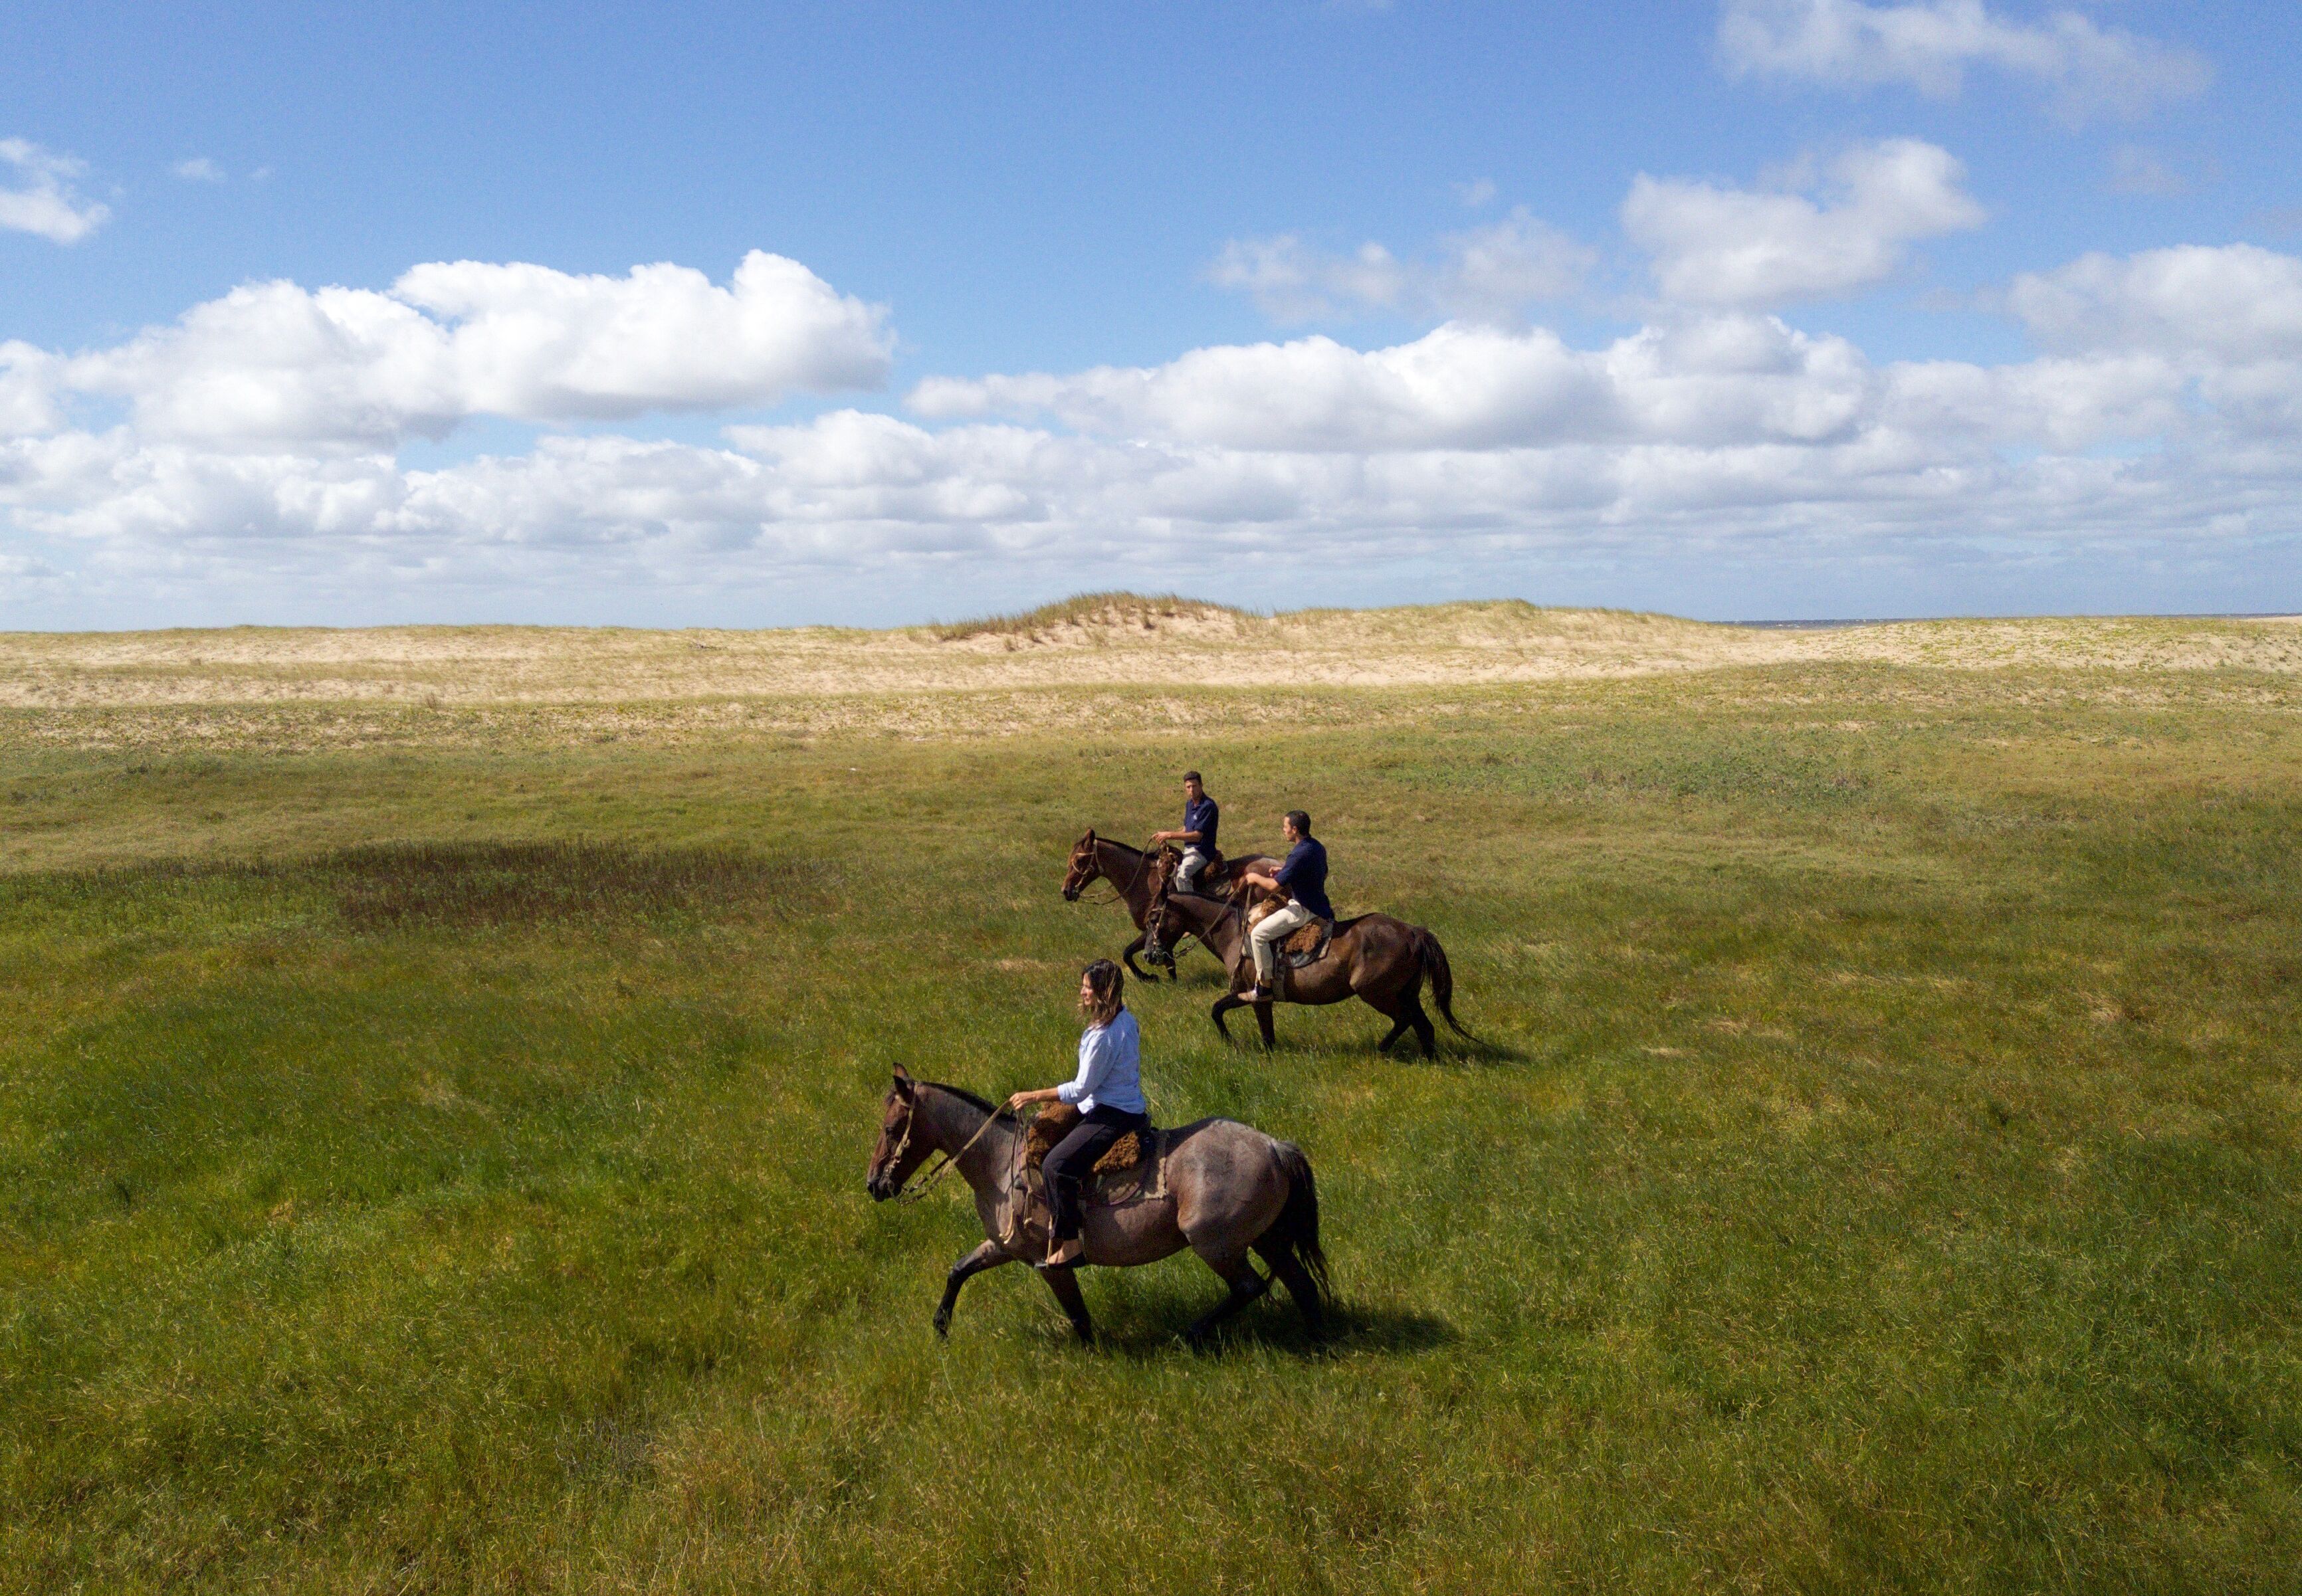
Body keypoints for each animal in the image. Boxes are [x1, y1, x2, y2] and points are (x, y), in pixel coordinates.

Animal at [866, 1066, 1328, 1346]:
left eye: (891, 1128)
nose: (874, 1185)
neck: (1000, 1163)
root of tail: (1275, 1147)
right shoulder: (1003, 1246)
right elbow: (958, 1270)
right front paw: (941, 1328)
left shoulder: (1050, 1265)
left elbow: (1079, 1317)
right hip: (1267, 1239)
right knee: (1301, 1285)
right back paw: (1317, 1342)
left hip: (1215, 1244)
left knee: (1250, 1287)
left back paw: (1192, 1334)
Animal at [1060, 829, 1271, 982]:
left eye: (1080, 859)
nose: (1066, 890)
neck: (1144, 881)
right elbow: (1149, 956)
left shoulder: (1154, 929)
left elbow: (1129, 953)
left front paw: (1148, 977)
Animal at [1144, 860, 1472, 1055]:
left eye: (1153, 919)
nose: (1149, 955)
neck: (1235, 933)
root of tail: (1413, 932)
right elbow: (1232, 1016)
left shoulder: (1255, 995)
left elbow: (1227, 1015)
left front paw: (1233, 1043)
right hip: (1407, 993)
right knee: (1424, 1026)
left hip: (1377, 993)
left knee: (1405, 1020)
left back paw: (1382, 1048)